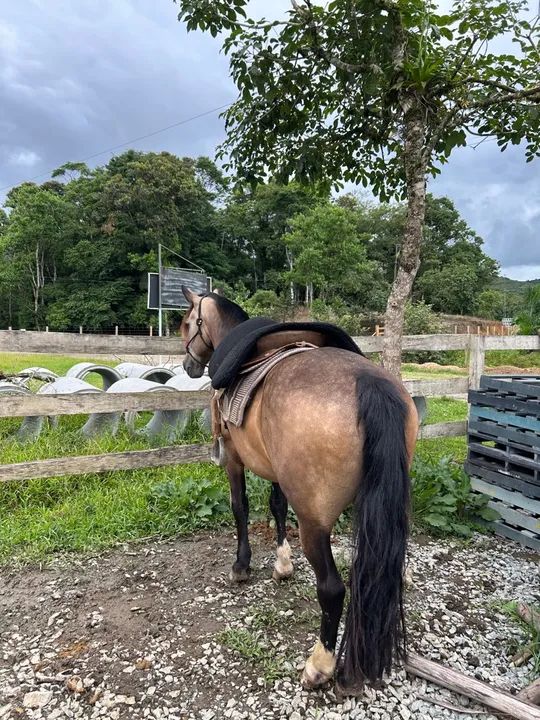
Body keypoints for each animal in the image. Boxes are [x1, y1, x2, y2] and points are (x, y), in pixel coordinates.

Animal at [180, 286, 418, 693]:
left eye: (185, 323)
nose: (188, 365)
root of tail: (369, 383)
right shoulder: (275, 469)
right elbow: (276, 506)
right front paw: (283, 564)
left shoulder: (233, 461)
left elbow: (240, 507)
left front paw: (242, 565)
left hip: (314, 522)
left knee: (333, 589)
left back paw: (319, 665)